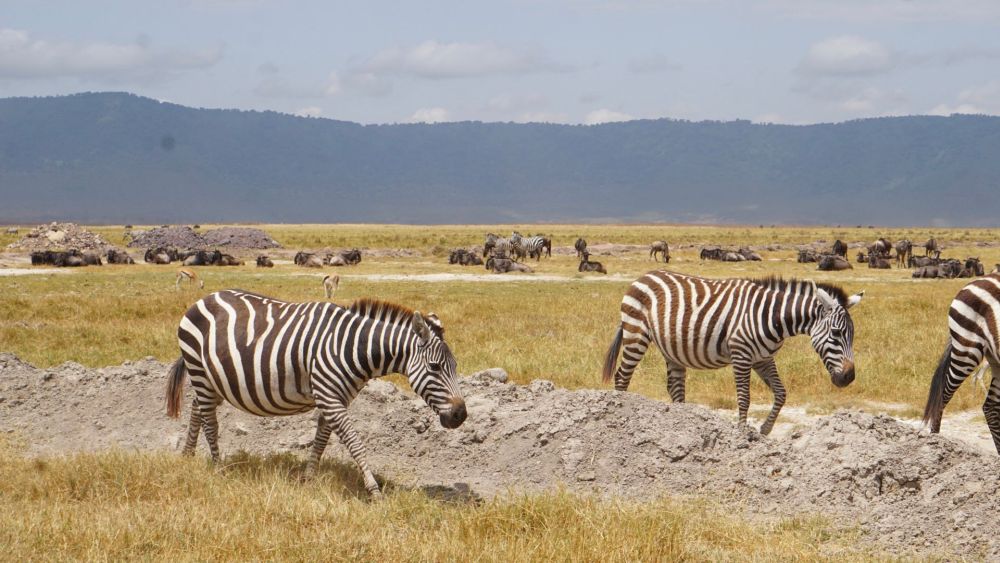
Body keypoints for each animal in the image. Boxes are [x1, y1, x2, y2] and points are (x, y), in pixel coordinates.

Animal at [167, 290, 468, 498]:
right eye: (435, 367)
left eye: (455, 366)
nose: (461, 415)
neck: (353, 347)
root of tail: (204, 298)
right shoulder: (329, 397)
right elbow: (355, 443)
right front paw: (374, 490)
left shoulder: (335, 398)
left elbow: (321, 440)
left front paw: (308, 479)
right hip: (200, 371)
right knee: (210, 421)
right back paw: (219, 468)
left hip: (214, 379)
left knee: (197, 408)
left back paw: (187, 456)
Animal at [604, 270, 864, 434]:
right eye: (836, 333)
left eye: (852, 335)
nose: (849, 377)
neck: (773, 317)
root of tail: (643, 276)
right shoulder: (741, 355)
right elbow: (744, 398)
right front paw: (741, 434)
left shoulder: (763, 358)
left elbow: (781, 393)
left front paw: (764, 430)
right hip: (636, 334)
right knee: (622, 377)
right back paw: (618, 417)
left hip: (671, 349)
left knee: (675, 388)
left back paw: (683, 425)